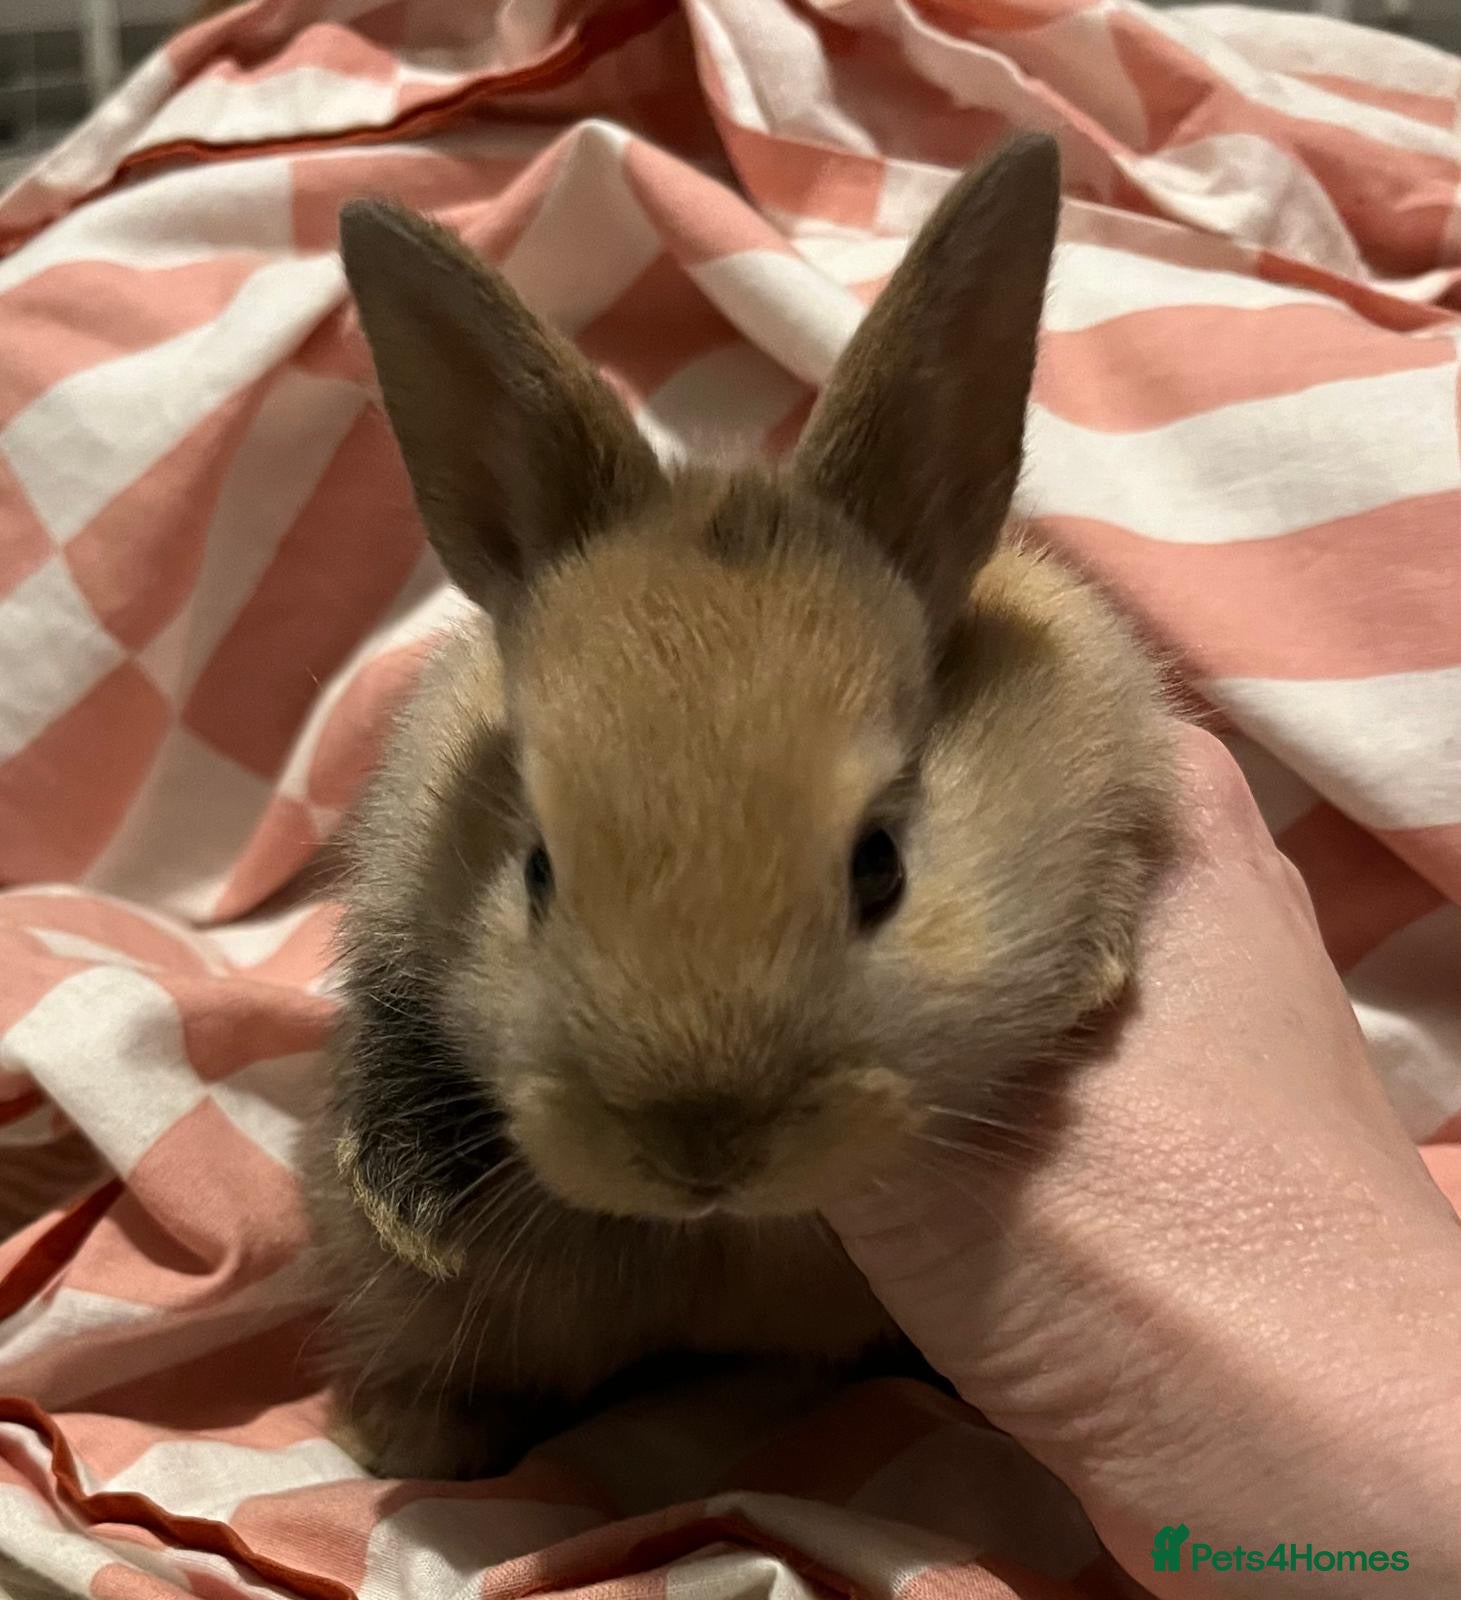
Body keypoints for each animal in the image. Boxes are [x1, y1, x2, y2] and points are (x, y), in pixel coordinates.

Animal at [302, 133, 1175, 1480]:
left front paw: (1091, 969)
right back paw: (406, 1435)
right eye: (536, 868)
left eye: (882, 865)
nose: (698, 1148)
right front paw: (407, 1197)